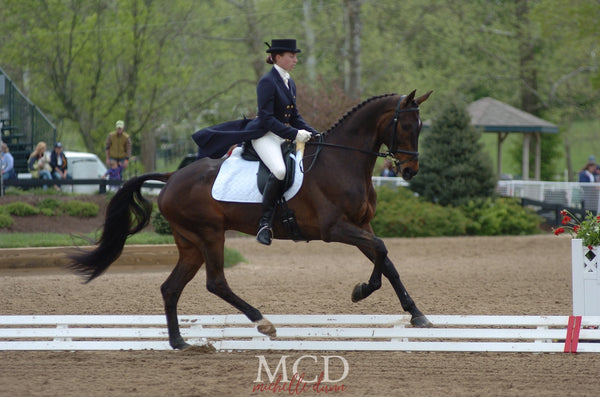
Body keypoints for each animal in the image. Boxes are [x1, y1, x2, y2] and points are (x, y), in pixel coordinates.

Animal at [68, 89, 434, 346]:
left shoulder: (360, 225)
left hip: (190, 243)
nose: (410, 171)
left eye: (420, 127)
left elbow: (385, 259)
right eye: (405, 125)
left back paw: (179, 342)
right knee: (216, 282)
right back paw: (262, 322)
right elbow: (381, 249)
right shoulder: (335, 229)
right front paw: (363, 290)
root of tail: (172, 176)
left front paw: (415, 313)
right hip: (210, 234)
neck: (342, 161)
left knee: (171, 287)